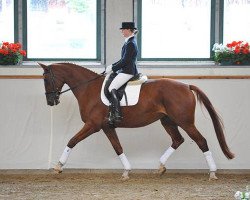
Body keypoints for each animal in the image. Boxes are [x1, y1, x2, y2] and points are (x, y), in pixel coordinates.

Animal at [39, 62, 234, 180]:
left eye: (46, 79)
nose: (50, 101)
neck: (88, 88)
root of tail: (187, 86)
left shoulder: (93, 125)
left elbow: (72, 140)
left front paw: (58, 166)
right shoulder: (107, 126)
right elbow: (118, 147)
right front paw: (126, 171)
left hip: (185, 122)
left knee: (201, 141)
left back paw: (212, 173)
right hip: (168, 121)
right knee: (178, 140)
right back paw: (160, 167)